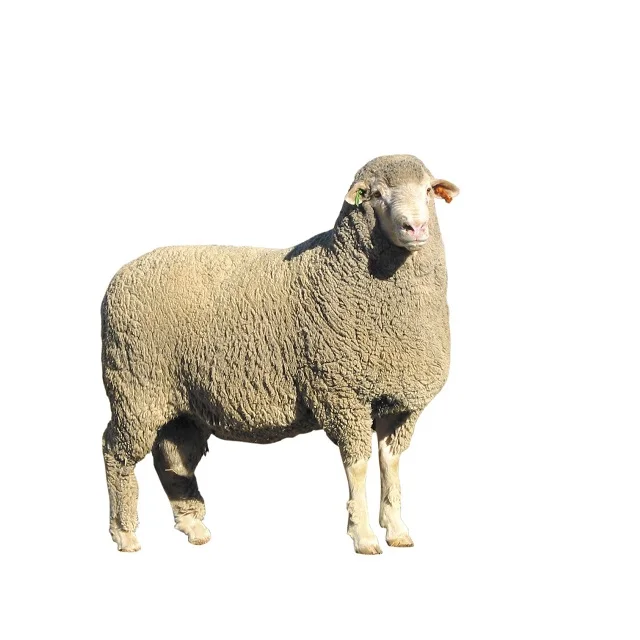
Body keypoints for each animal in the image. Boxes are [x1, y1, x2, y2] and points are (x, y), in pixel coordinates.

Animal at [101, 154, 459, 554]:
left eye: (427, 190)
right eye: (375, 194)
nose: (415, 226)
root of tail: (122, 273)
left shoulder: (401, 402)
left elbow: (391, 463)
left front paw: (396, 529)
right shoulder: (341, 393)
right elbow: (358, 466)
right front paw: (363, 535)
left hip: (181, 403)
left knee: (173, 458)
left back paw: (193, 525)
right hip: (135, 388)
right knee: (116, 452)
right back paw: (125, 533)